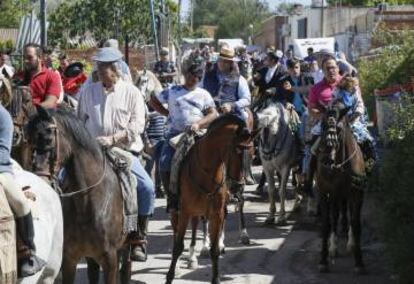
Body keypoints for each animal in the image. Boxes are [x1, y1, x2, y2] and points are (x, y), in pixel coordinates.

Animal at [25, 107, 132, 284]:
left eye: (48, 139)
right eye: (29, 141)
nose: (40, 180)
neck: (88, 204)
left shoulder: (110, 258)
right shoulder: (70, 258)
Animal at [166, 113, 258, 284]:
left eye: (251, 151)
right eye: (236, 150)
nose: (238, 185)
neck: (206, 171)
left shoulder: (216, 212)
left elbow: (214, 250)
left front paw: (216, 276)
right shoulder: (185, 211)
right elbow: (177, 246)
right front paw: (170, 276)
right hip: (180, 210)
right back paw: (192, 256)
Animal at [316, 102, 368, 272]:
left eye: (338, 129)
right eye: (322, 125)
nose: (326, 160)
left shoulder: (357, 193)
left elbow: (356, 223)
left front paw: (359, 262)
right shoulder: (325, 192)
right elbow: (327, 223)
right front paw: (323, 260)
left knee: (347, 215)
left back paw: (349, 243)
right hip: (336, 195)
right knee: (336, 215)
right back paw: (333, 247)